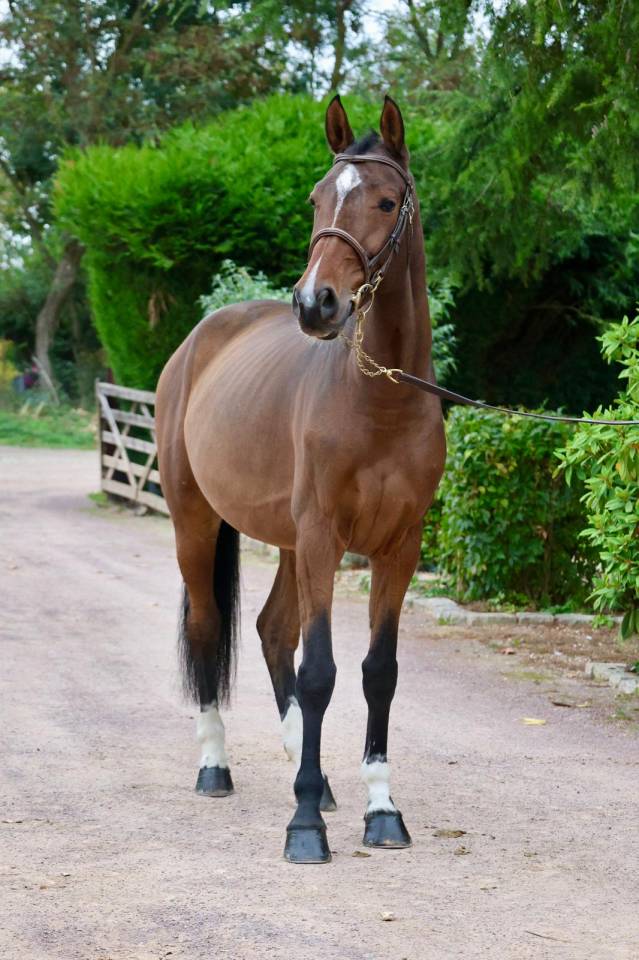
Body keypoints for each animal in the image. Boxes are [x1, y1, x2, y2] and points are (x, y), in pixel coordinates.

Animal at [155, 95, 446, 864]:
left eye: (385, 200)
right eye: (317, 198)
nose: (314, 304)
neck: (379, 399)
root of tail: (196, 342)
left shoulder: (396, 548)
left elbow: (378, 672)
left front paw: (380, 808)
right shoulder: (323, 538)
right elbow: (321, 673)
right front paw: (305, 824)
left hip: (287, 543)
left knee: (269, 630)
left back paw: (308, 769)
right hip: (198, 523)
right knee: (208, 627)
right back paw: (216, 766)